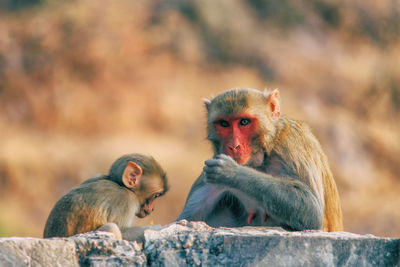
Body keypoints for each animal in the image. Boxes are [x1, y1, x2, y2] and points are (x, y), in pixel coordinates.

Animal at [179, 88, 344, 232]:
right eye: (224, 124)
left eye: (244, 122)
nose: (233, 146)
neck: (262, 155)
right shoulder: (210, 178)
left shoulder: (293, 145)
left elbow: (312, 210)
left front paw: (231, 173)